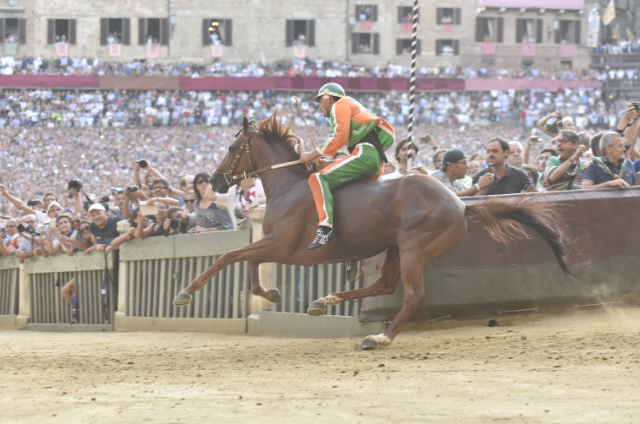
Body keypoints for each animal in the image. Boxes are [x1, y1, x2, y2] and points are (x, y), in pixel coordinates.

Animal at [171, 114, 568, 350]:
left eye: (231, 147)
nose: (217, 181)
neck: (289, 186)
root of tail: (459, 203)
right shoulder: (273, 245)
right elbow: (248, 268)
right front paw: (271, 292)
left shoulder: (284, 246)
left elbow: (230, 255)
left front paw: (185, 293)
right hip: (394, 247)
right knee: (384, 285)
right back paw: (325, 301)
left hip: (414, 249)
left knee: (413, 295)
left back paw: (380, 336)